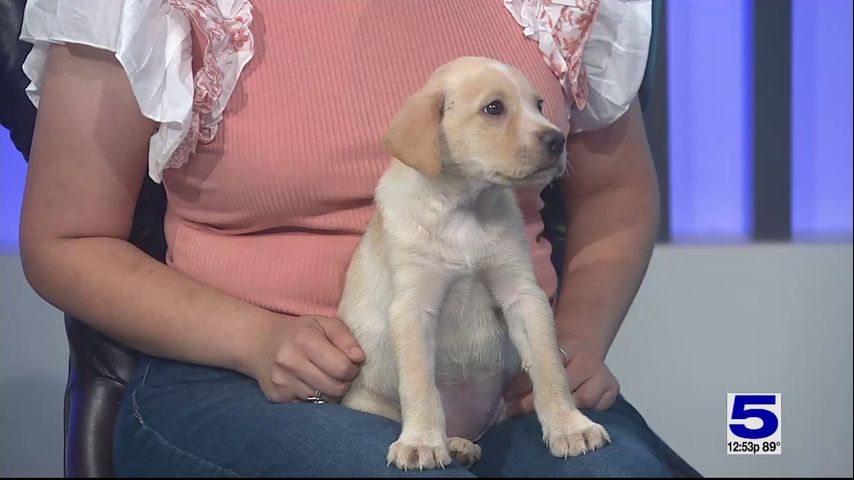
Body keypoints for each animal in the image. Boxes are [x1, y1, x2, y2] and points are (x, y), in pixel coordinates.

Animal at [338, 55, 612, 468]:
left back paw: (461, 445)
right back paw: (449, 442)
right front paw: (420, 441)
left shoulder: (523, 296)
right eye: (494, 108)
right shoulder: (413, 307)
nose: (558, 140)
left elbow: (549, 367)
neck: (465, 208)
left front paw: (570, 426)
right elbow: (420, 385)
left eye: (539, 105)